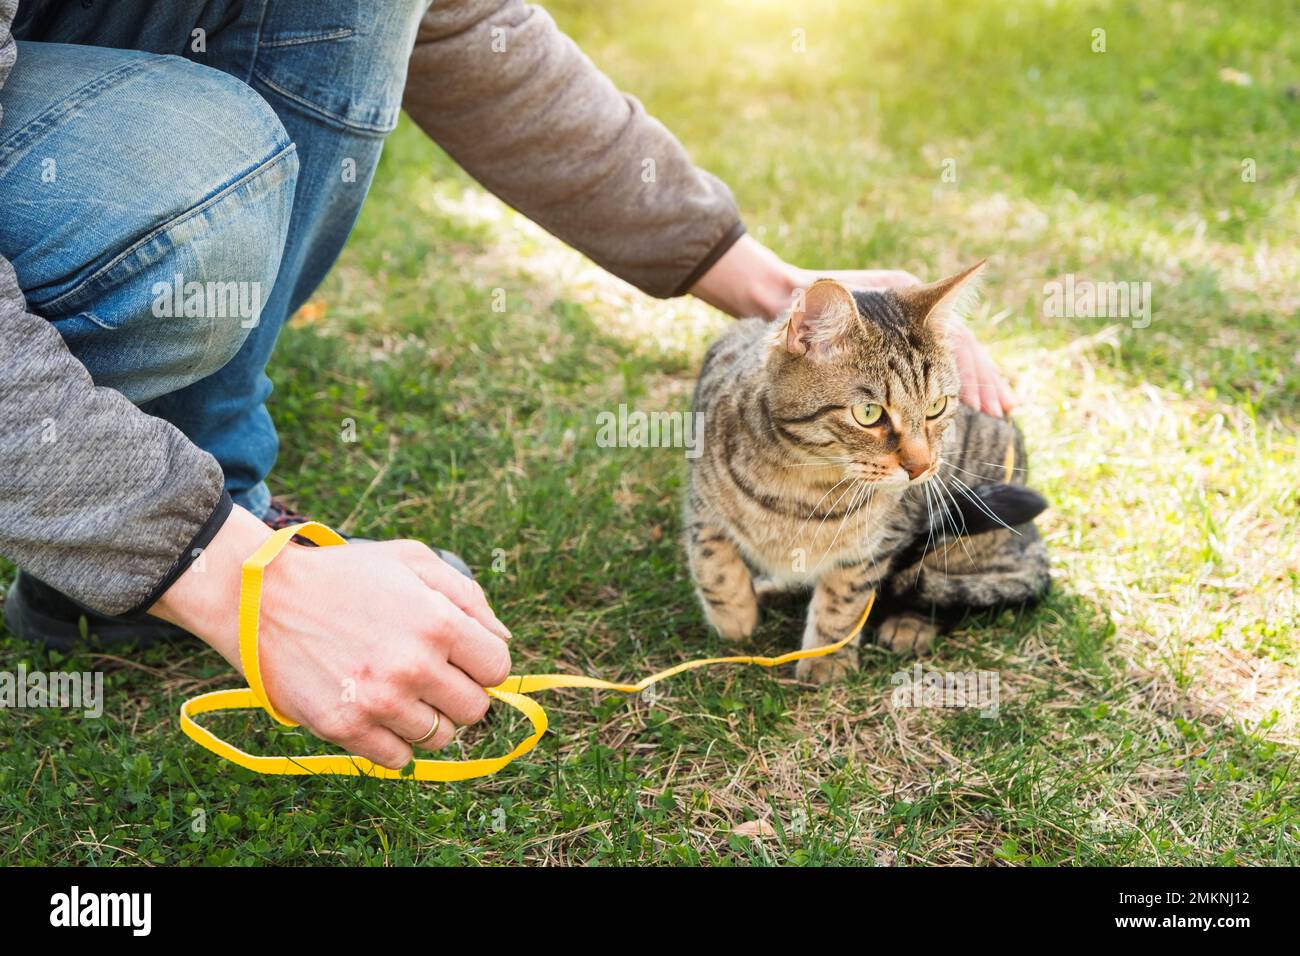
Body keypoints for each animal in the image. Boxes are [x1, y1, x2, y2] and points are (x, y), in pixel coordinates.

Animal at [686, 261, 1050, 681]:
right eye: (868, 414)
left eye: (936, 407)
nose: (921, 467)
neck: (800, 483)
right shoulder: (701, 494)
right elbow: (711, 558)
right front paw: (733, 618)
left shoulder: (879, 542)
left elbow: (844, 600)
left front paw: (826, 661)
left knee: (946, 589)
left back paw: (910, 623)